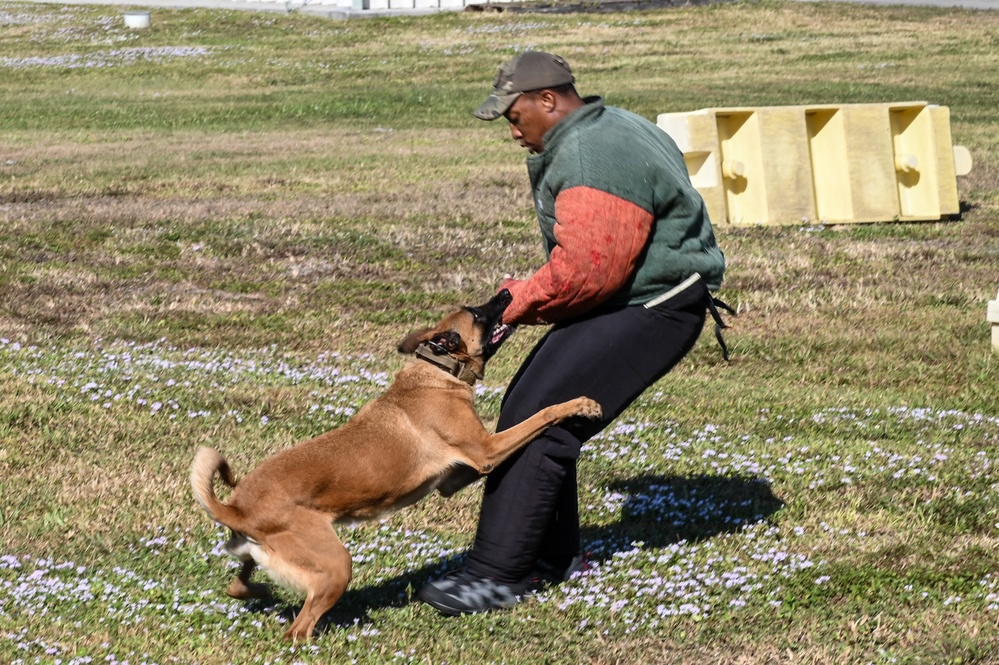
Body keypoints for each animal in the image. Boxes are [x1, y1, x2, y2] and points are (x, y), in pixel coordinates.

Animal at [194, 290, 600, 640]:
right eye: (478, 313)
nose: (506, 292)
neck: (437, 372)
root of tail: (238, 508)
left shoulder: (455, 477)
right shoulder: (486, 452)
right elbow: (543, 414)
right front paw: (581, 404)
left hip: (262, 557)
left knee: (238, 585)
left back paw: (259, 591)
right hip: (336, 565)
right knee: (298, 630)